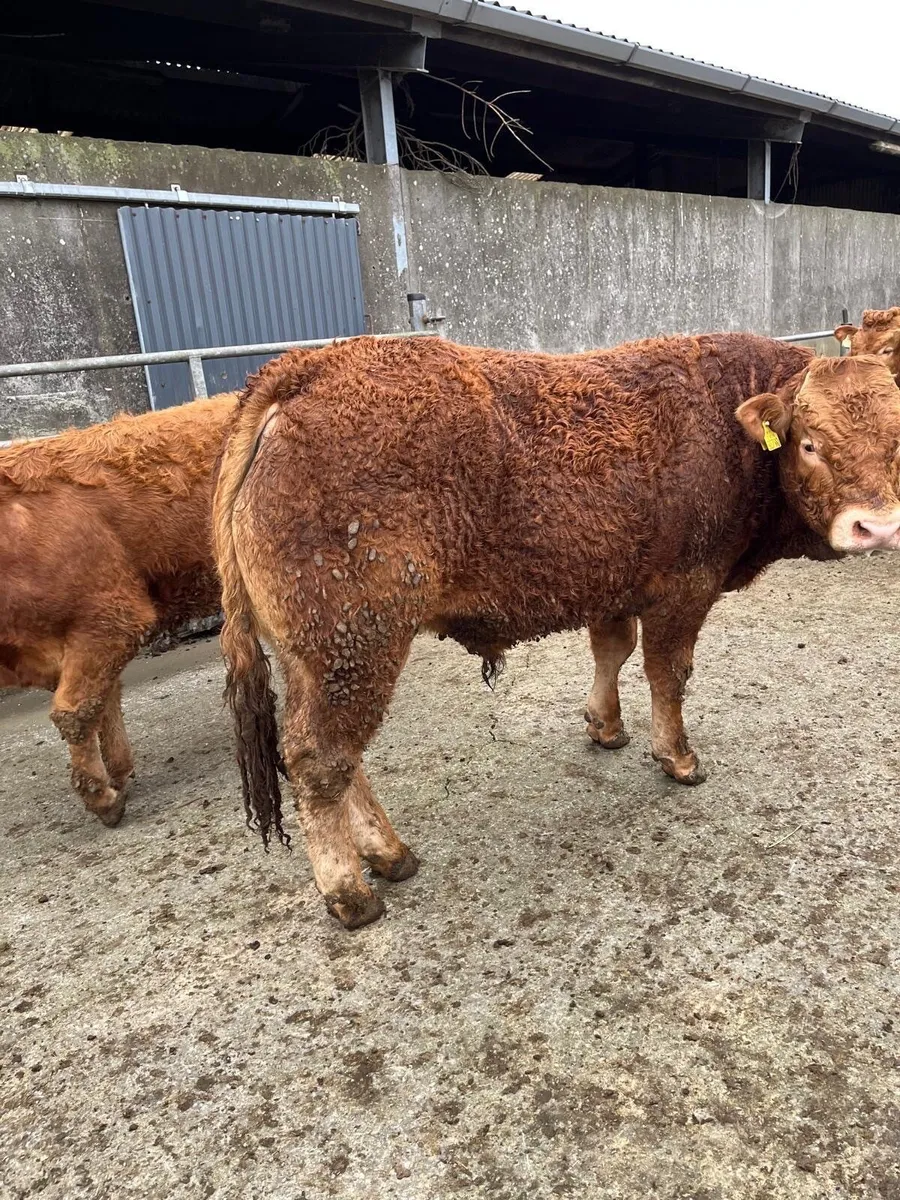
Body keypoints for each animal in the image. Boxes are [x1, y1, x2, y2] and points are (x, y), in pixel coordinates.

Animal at [213, 334, 900, 928]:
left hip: (318, 655)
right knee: (320, 757)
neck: (730, 427)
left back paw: (388, 854)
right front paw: (677, 757)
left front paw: (605, 725)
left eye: (897, 442)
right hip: (354, 641)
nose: (876, 527)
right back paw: (350, 891)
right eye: (809, 443)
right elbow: (668, 672)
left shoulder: (615, 582)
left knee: (335, 752)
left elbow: (612, 650)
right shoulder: (686, 585)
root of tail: (307, 369)